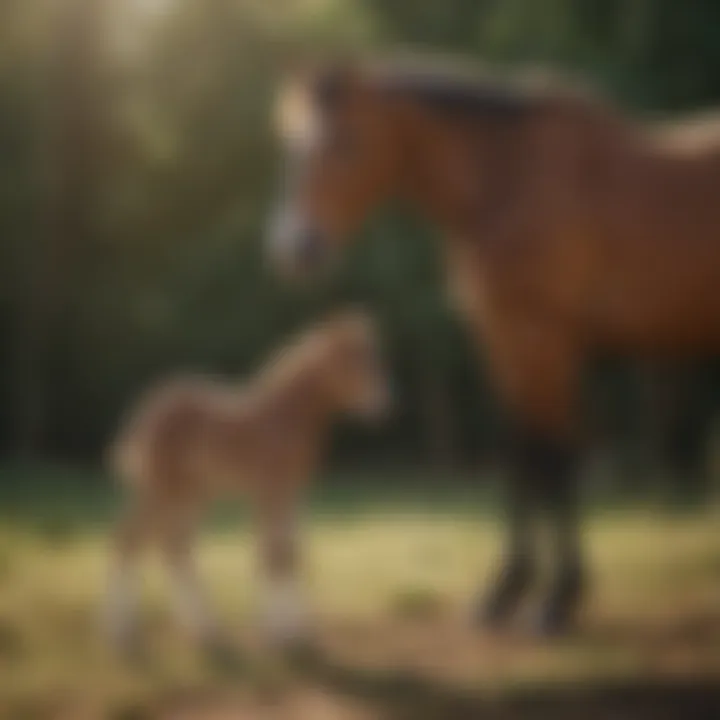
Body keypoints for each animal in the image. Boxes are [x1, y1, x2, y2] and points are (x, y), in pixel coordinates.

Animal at [102, 312, 388, 648]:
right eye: (348, 359)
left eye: (372, 356)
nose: (380, 404)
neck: (282, 418)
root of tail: (146, 414)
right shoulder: (271, 490)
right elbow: (275, 554)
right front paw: (279, 634)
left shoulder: (291, 492)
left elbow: (290, 551)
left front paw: (297, 630)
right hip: (160, 490)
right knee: (130, 542)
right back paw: (120, 632)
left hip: (189, 494)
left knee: (173, 547)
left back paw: (203, 629)